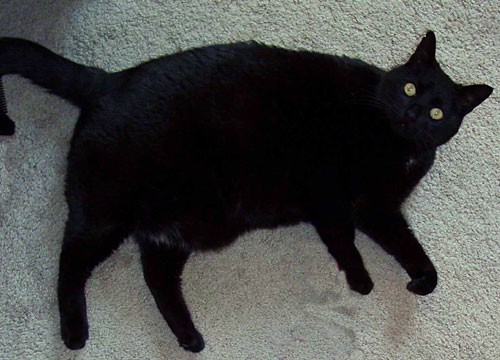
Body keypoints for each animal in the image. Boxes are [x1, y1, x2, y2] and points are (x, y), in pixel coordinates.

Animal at [0, 31, 492, 352]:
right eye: (409, 87)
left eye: (437, 112)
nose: (412, 113)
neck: (395, 141)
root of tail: (108, 79)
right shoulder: (331, 198)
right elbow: (343, 240)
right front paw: (361, 280)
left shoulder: (377, 207)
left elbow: (405, 245)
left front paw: (420, 280)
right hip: (106, 213)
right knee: (69, 262)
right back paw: (74, 333)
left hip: (184, 226)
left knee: (156, 276)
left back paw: (190, 338)